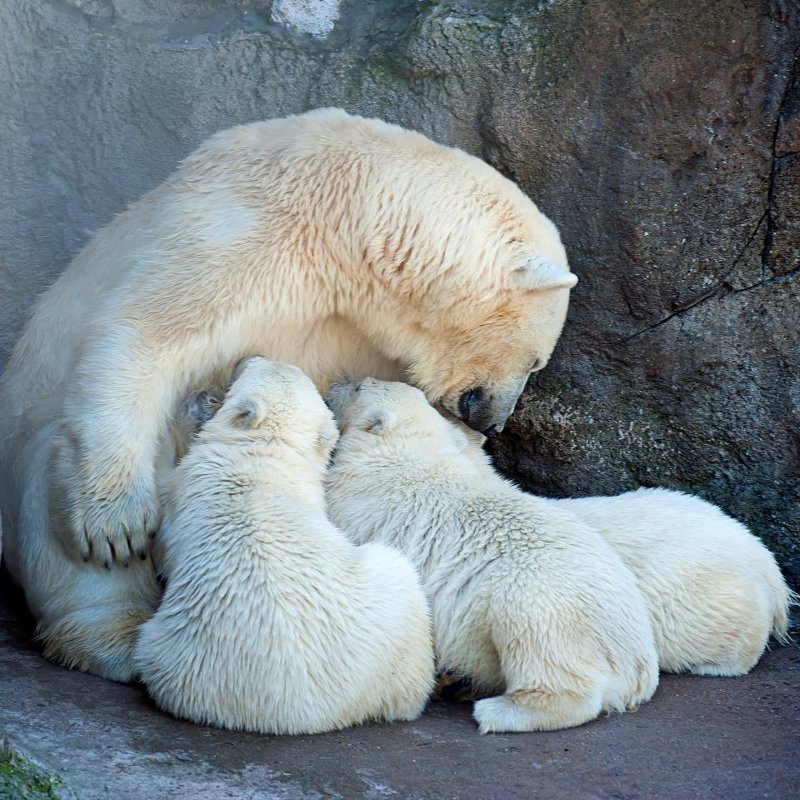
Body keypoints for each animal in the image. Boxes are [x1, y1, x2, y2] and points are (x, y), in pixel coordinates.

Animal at [0, 106, 576, 680]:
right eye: (535, 360)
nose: (493, 422)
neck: (351, 213)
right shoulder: (245, 232)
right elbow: (142, 336)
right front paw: (113, 525)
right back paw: (113, 637)